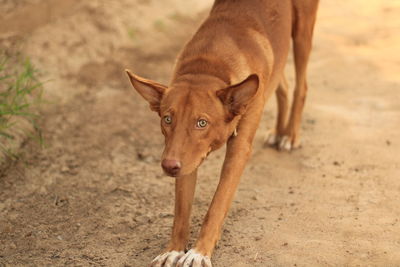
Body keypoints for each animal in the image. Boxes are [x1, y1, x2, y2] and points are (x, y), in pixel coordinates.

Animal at [125, 1, 318, 266]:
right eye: (167, 119)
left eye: (202, 123)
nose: (168, 166)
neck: (209, 66)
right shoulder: (185, 157)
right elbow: (181, 210)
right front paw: (173, 250)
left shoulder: (238, 149)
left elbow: (217, 205)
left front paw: (199, 253)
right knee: (283, 83)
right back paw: (279, 131)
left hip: (302, 34)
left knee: (301, 85)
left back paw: (290, 135)